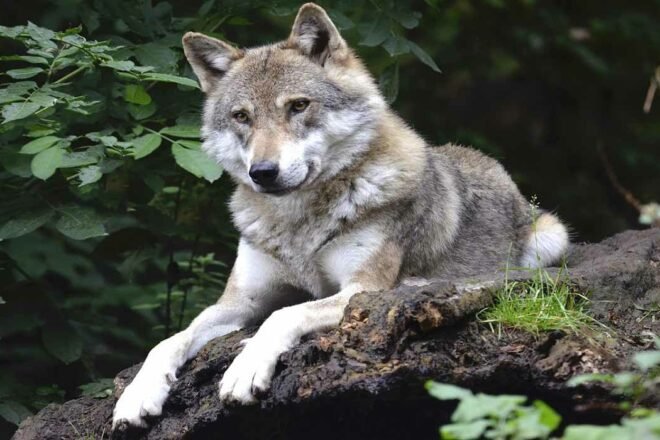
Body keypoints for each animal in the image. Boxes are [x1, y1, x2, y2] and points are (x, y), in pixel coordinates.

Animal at [112, 3, 569, 428]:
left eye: (298, 106)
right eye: (242, 117)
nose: (263, 172)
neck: (298, 224)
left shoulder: (360, 289)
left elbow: (284, 314)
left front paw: (245, 368)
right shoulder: (240, 301)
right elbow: (170, 339)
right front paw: (137, 395)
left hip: (551, 236)